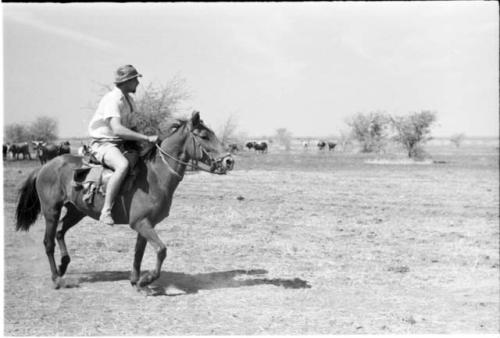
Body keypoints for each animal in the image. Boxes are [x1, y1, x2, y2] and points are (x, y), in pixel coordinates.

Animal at [15, 111, 234, 290]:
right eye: (204, 136)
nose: (229, 161)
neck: (155, 176)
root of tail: (45, 167)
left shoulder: (145, 224)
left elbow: (139, 252)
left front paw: (136, 281)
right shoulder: (140, 223)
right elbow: (161, 250)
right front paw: (147, 280)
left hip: (77, 211)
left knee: (60, 232)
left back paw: (63, 266)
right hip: (51, 211)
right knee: (48, 242)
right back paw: (57, 278)